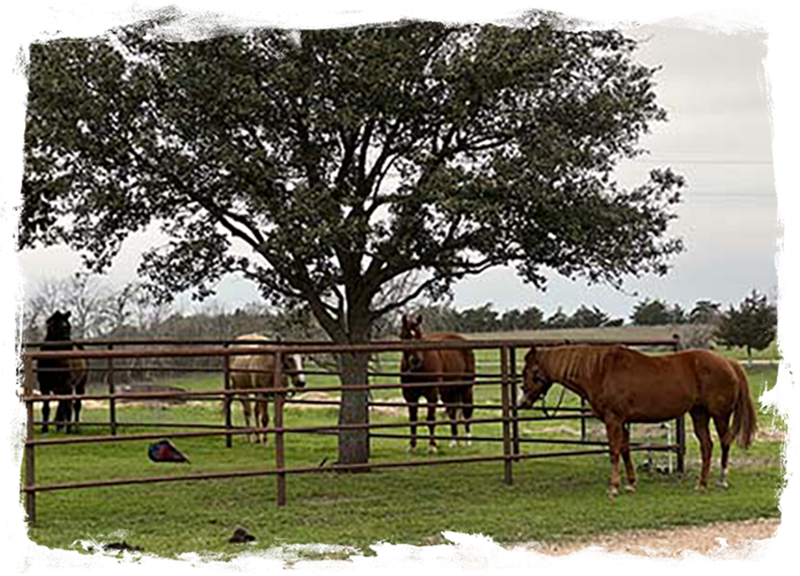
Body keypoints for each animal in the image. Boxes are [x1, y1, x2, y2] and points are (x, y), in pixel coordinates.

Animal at [400, 316, 476, 454]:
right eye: (406, 336)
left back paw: (468, 441)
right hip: (448, 392)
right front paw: (412, 446)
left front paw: (432, 446)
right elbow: (413, 420)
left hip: (466, 388)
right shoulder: (410, 397)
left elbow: (430, 419)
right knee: (452, 413)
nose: (416, 360)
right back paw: (454, 441)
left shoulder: (431, 395)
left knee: (466, 412)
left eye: (419, 335)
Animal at [520, 344, 756, 498]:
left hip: (719, 415)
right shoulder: (623, 421)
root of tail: (729, 363)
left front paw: (614, 487)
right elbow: (625, 450)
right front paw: (631, 484)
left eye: (530, 372)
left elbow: (614, 451)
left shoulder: (613, 420)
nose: (523, 401)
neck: (600, 371)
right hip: (699, 413)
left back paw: (722, 479)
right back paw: (701, 484)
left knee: (725, 442)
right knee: (707, 445)